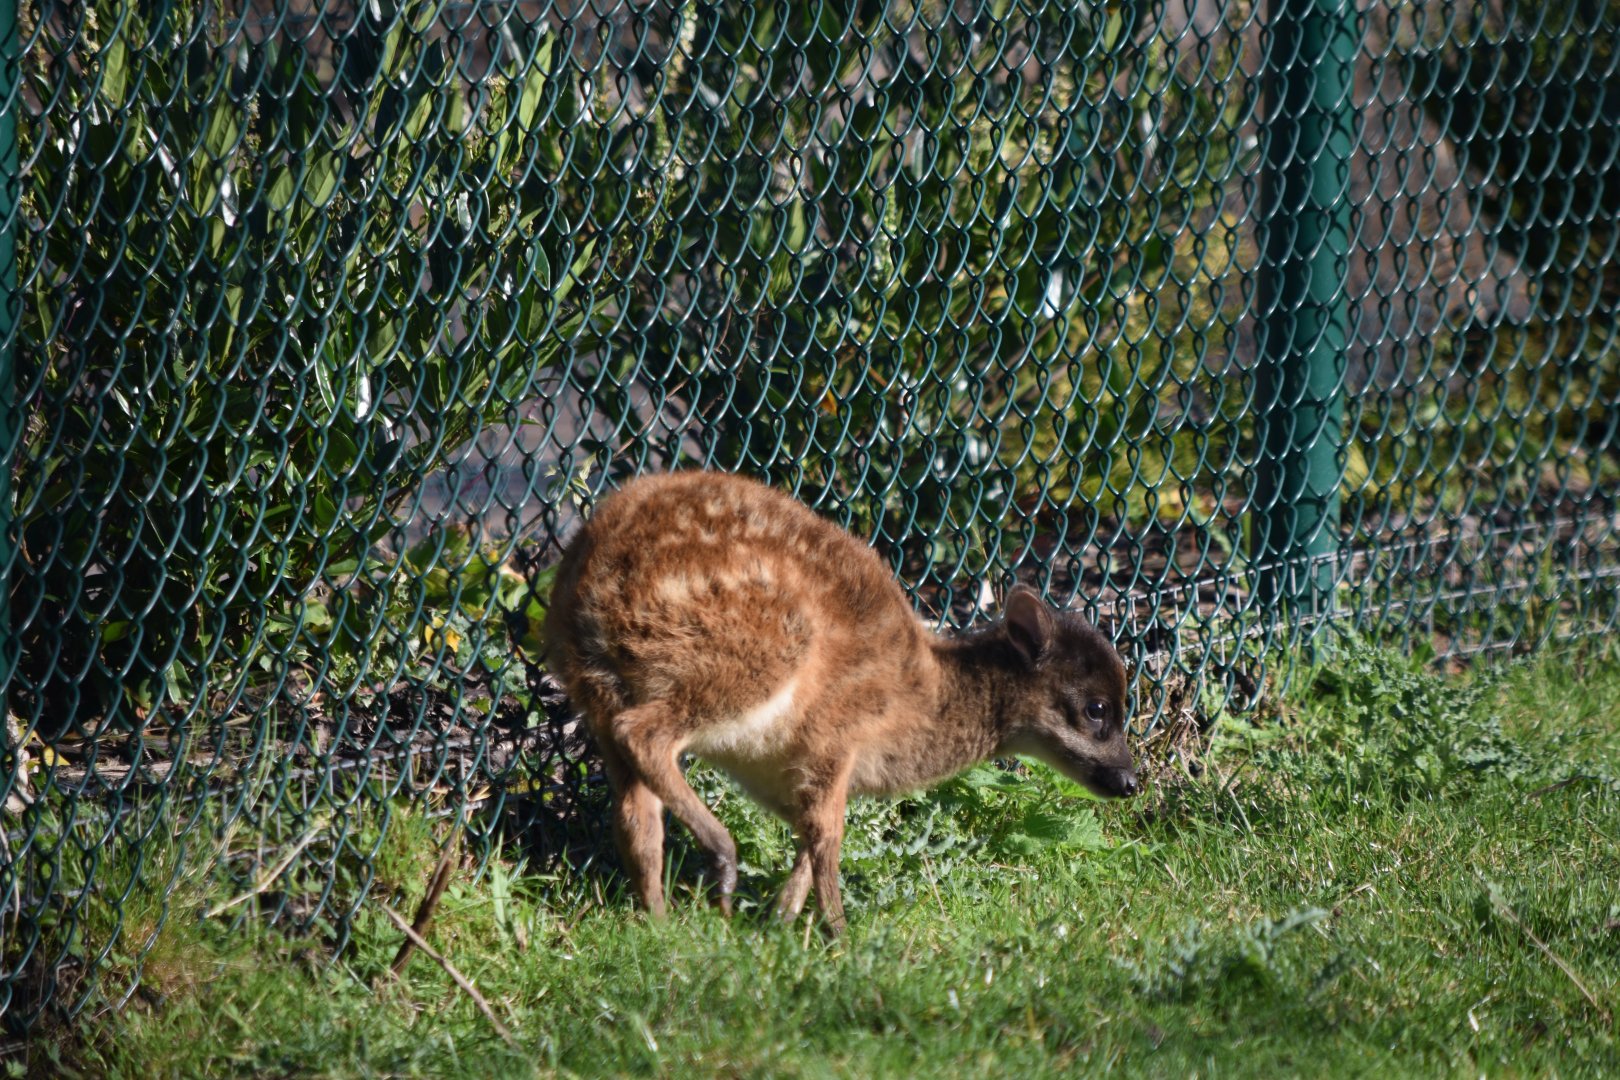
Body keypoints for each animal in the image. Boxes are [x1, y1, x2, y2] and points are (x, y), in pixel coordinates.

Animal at [543, 470, 1137, 935]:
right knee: (644, 733)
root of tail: (591, 574)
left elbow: (809, 842)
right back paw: (722, 857)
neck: (921, 696)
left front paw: (781, 925)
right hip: (750, 657)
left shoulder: (790, 773)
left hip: (595, 690)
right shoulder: (834, 738)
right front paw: (840, 938)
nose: (1131, 781)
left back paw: (662, 925)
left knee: (634, 814)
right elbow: (828, 839)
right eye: (1097, 710)